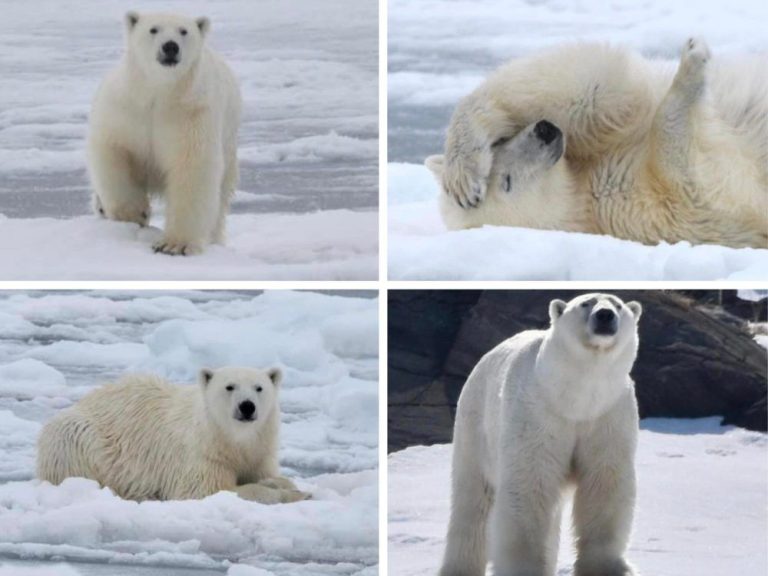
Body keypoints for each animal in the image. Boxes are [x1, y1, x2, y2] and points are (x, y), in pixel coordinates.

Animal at [34, 366, 308, 502]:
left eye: (259, 388)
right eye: (230, 386)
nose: (247, 406)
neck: (229, 439)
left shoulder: (260, 450)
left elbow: (265, 474)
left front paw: (287, 485)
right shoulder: (201, 455)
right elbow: (207, 490)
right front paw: (294, 494)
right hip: (79, 435)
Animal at [88, 10, 242, 254]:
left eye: (183, 31)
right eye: (153, 29)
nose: (170, 47)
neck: (159, 94)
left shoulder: (191, 114)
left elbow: (193, 167)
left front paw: (174, 245)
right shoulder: (125, 108)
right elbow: (113, 151)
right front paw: (134, 213)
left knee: (219, 203)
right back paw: (102, 207)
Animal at [426, 37, 768, 250]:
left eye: (500, 145)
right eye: (508, 182)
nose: (545, 130)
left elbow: (592, 89)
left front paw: (462, 174)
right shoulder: (640, 209)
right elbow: (696, 181)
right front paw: (693, 63)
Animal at [438, 292, 640, 576]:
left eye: (618, 305)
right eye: (586, 303)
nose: (605, 315)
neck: (574, 398)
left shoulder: (607, 415)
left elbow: (604, 481)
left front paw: (610, 568)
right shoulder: (538, 413)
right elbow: (530, 485)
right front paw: (523, 567)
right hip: (475, 426)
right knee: (473, 504)